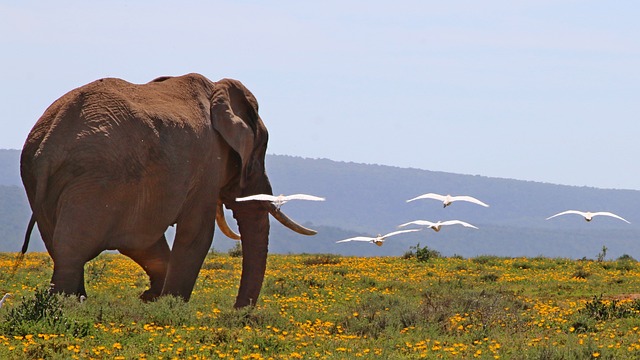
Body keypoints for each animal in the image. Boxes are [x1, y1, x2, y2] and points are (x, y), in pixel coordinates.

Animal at [21, 72, 316, 306]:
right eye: (256, 158)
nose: (238, 311)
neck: (217, 90)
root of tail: (48, 144)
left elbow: (146, 239)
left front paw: (152, 298)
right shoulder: (208, 164)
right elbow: (196, 234)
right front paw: (171, 304)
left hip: (46, 183)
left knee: (63, 246)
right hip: (95, 178)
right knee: (72, 249)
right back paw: (69, 304)